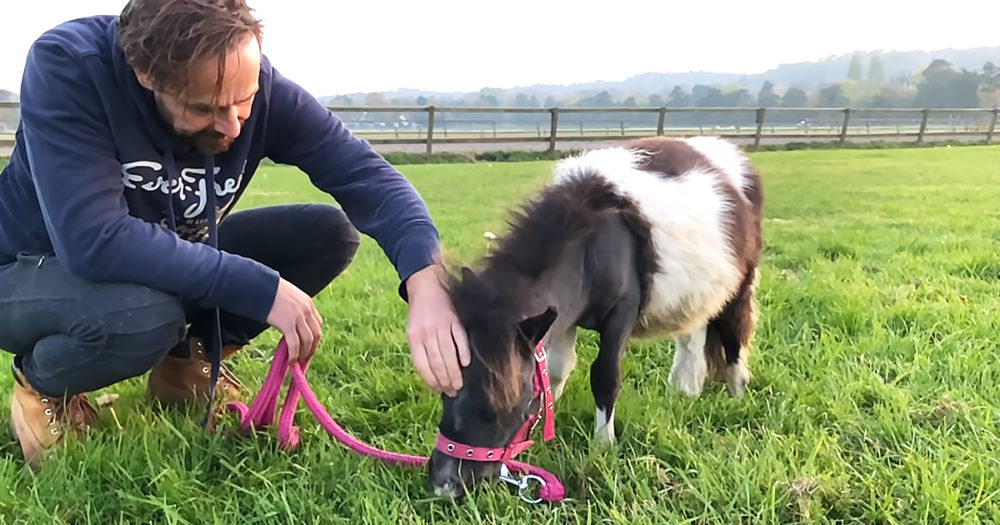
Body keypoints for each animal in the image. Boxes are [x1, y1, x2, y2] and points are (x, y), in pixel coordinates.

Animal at [426, 135, 765, 499]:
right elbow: (557, 370)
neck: (591, 248)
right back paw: (685, 390)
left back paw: (736, 394)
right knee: (693, 337)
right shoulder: (561, 319)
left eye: (501, 404)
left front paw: (604, 443)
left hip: (739, 285)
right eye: (445, 392)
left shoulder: (621, 313)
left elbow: (605, 375)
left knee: (733, 337)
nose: (444, 484)